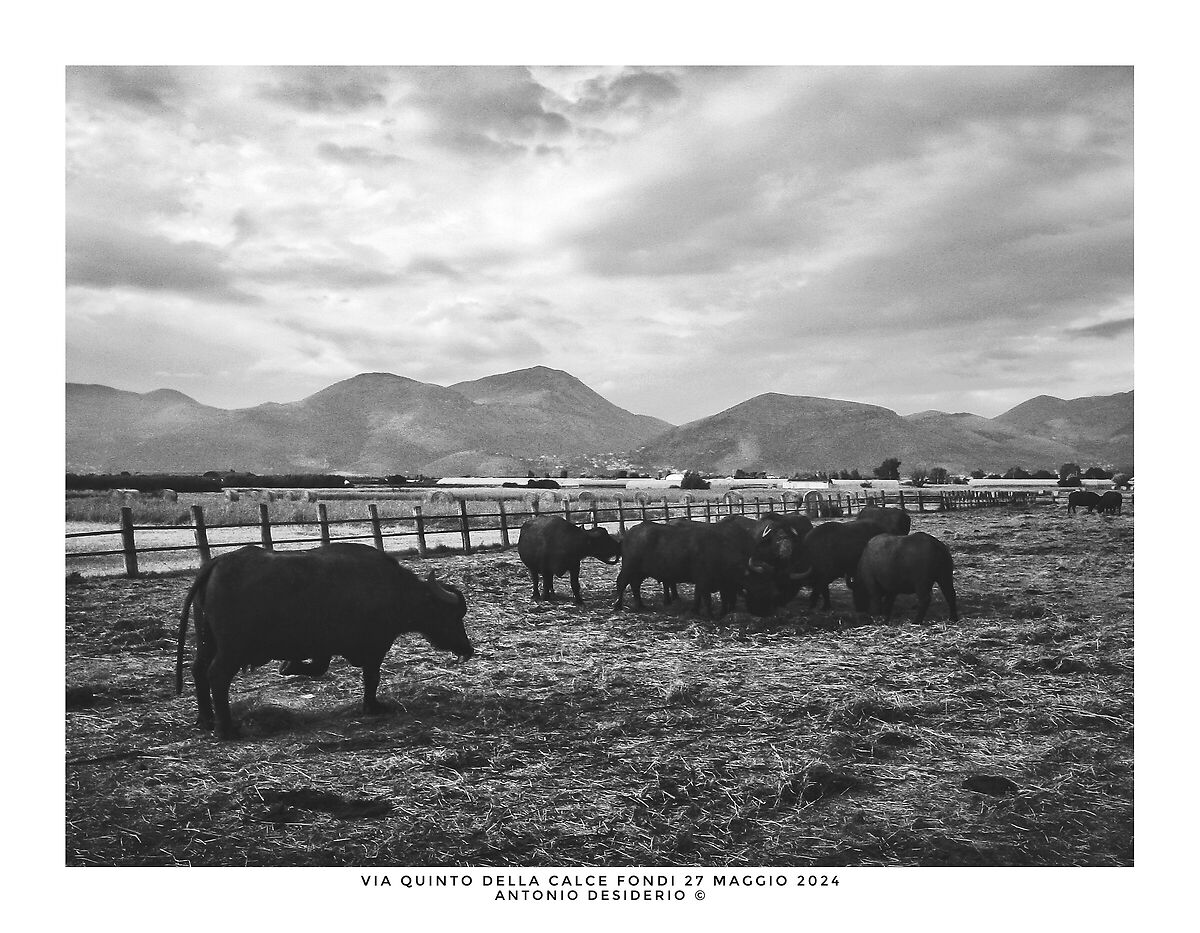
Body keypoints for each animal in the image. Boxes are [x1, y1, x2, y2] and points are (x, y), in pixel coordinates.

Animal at [176, 543, 473, 739]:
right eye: (453, 616)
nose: (467, 648)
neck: (392, 589)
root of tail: (217, 563)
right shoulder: (375, 647)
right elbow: (371, 678)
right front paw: (372, 706)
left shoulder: (323, 647)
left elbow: (318, 667)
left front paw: (288, 666)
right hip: (232, 649)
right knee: (217, 676)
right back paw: (226, 728)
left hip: (207, 642)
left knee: (198, 670)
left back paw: (206, 719)